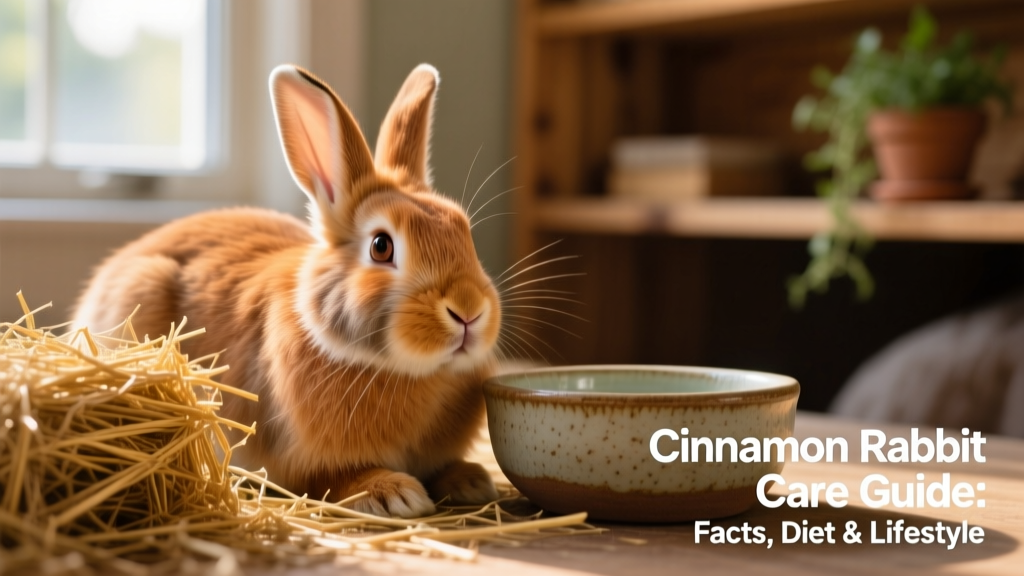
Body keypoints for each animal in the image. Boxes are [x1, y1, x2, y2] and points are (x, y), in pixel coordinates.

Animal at [72, 63, 502, 517]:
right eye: (381, 246)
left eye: (464, 232)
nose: (468, 311)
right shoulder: (301, 463)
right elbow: (333, 481)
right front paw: (393, 493)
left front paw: (471, 480)